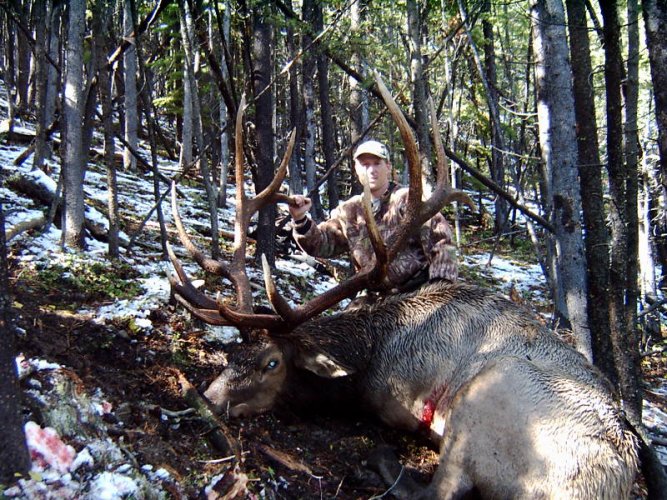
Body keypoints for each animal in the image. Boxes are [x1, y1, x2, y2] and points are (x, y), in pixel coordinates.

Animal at [167, 75, 640, 499]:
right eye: (234, 353)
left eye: (271, 362)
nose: (207, 401)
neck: (370, 355)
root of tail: (612, 481)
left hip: (485, 394)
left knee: (439, 490)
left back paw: (380, 461)